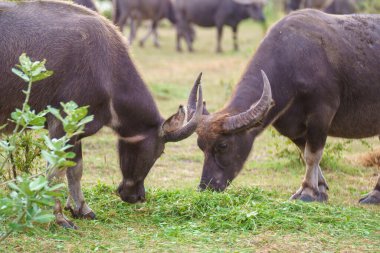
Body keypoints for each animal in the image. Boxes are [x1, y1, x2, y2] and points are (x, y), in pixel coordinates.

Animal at [0, 0, 205, 229]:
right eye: (159, 152)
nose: (137, 196)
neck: (105, 69)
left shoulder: (77, 129)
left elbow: (76, 169)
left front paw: (81, 209)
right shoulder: (60, 127)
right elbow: (56, 171)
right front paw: (59, 218)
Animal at [196, 8, 380, 205]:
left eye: (223, 145)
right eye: (200, 146)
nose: (206, 187)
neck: (293, 61)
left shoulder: (321, 115)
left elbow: (312, 155)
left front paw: (308, 192)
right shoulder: (291, 127)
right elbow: (304, 153)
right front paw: (319, 189)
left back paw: (374, 194)